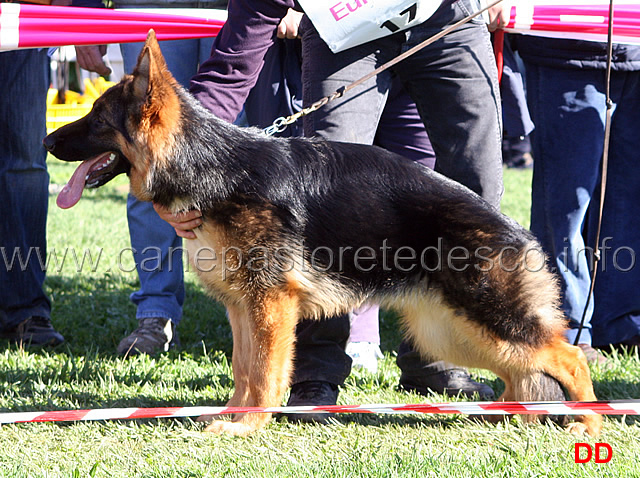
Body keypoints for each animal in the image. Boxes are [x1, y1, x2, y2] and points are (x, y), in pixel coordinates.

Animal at [43, 32, 600, 436]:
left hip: (489, 321)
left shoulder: (270, 305)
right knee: (525, 371)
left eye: (95, 118)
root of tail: (519, 233)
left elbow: (266, 374)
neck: (209, 165)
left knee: (570, 358)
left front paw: (247, 427)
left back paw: (590, 424)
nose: (48, 141)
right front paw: (231, 417)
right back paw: (525, 416)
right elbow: (244, 370)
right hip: (452, 333)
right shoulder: (242, 308)